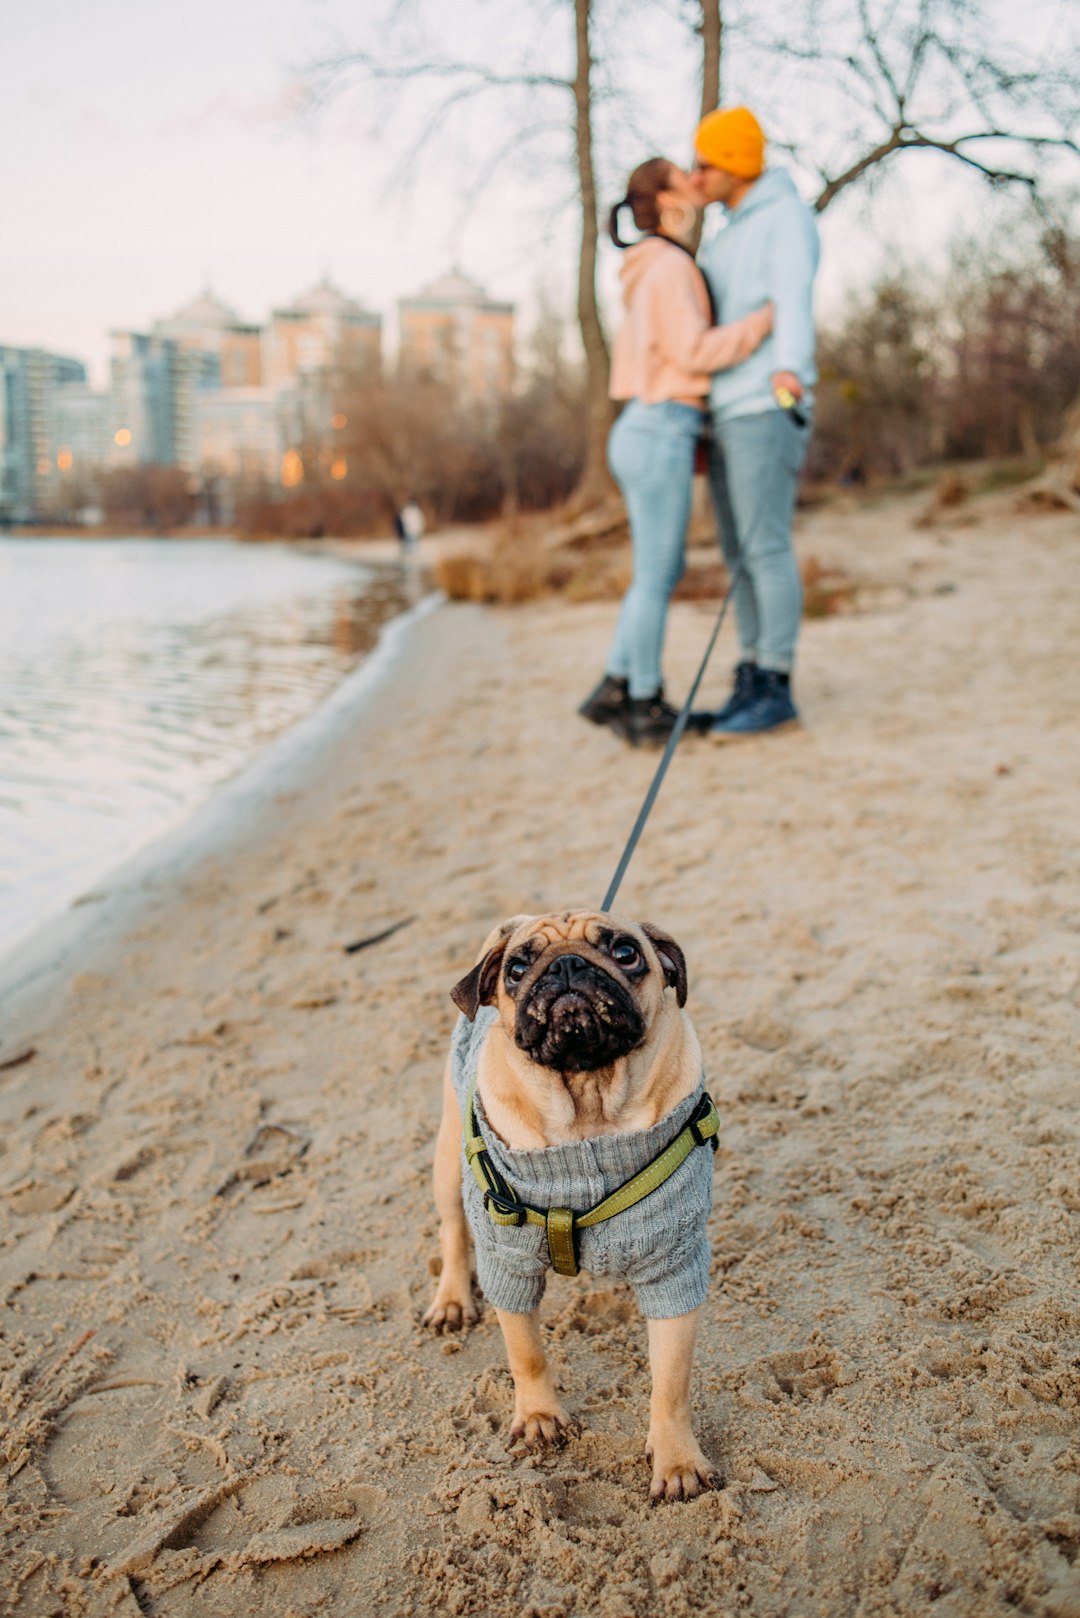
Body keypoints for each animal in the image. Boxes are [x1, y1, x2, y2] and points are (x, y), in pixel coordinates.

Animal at [420, 912, 718, 1501]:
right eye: (516, 969)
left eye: (626, 953)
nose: (566, 966)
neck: (589, 1110)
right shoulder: (509, 1260)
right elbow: (526, 1353)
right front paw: (539, 1417)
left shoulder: (672, 1266)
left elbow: (670, 1381)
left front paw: (675, 1458)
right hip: (448, 1160)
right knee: (453, 1231)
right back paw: (451, 1300)